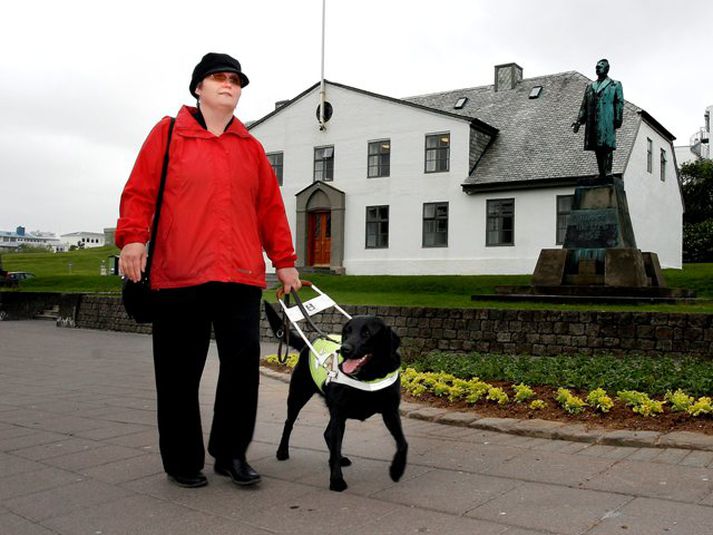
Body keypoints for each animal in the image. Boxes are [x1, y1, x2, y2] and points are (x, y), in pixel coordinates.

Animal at [262, 304, 406, 492]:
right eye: (346, 332)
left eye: (366, 333)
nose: (344, 349)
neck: (368, 376)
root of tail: (308, 344)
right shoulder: (339, 413)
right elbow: (335, 444)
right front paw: (337, 480)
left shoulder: (390, 411)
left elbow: (402, 443)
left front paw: (397, 470)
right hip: (298, 396)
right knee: (290, 423)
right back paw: (282, 452)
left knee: (327, 434)